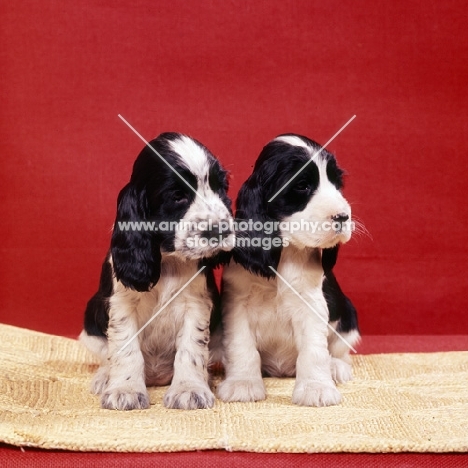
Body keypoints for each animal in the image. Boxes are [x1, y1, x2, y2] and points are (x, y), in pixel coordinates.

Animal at [81, 132, 234, 410]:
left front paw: (190, 390)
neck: (168, 260)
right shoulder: (122, 304)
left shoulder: (196, 304)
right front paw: (125, 390)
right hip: (91, 320)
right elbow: (126, 349)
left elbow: (191, 349)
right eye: (177, 196)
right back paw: (104, 378)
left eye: (220, 188)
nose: (221, 230)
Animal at [218, 134, 360, 406]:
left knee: (339, 350)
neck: (285, 253)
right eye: (302, 185)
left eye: (337, 184)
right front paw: (242, 384)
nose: (342, 216)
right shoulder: (237, 303)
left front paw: (316, 388)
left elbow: (314, 351)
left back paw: (336, 367)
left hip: (348, 315)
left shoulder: (311, 303)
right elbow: (242, 346)